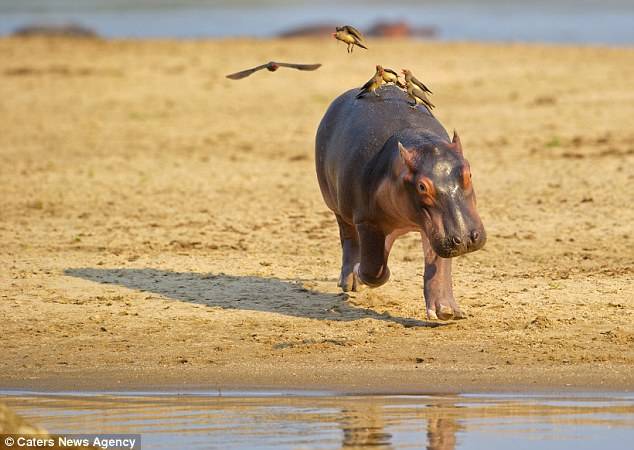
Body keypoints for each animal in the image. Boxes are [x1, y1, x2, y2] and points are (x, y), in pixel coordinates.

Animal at [314, 85, 484, 320]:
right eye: (422, 186)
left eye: (468, 173)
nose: (466, 238)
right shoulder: (367, 220)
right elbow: (373, 268)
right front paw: (361, 274)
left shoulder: (437, 232)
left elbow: (438, 265)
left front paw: (446, 311)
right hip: (337, 205)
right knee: (348, 237)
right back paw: (350, 281)